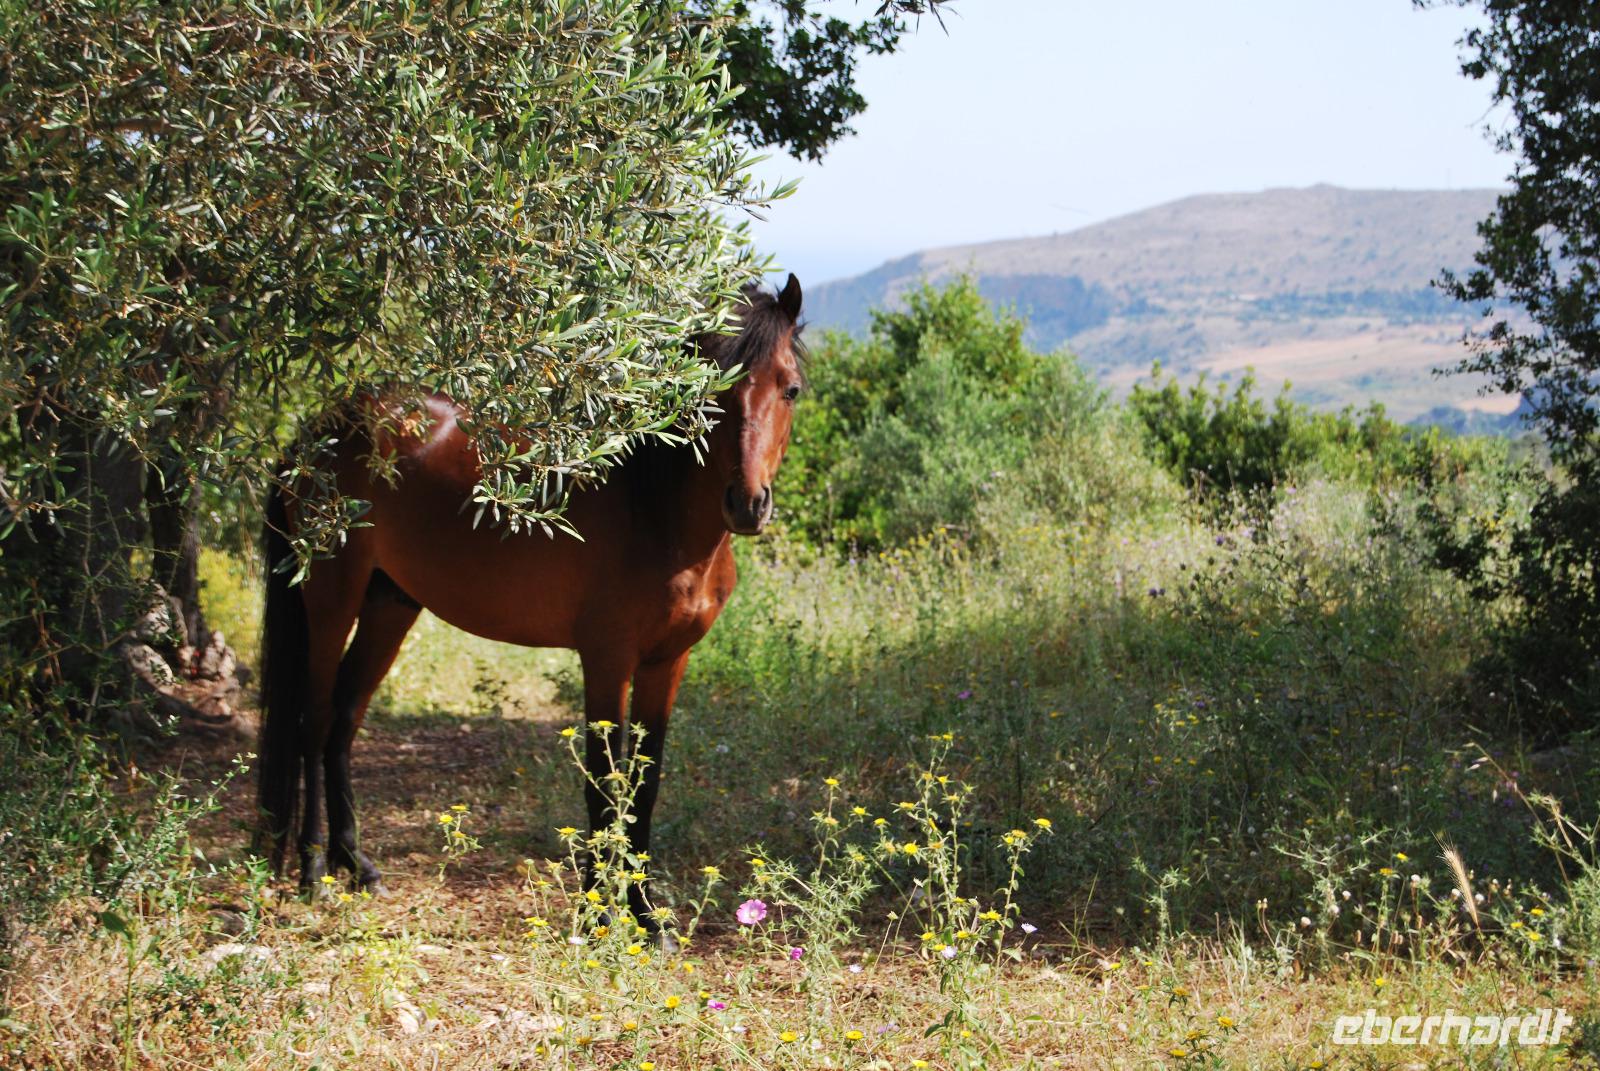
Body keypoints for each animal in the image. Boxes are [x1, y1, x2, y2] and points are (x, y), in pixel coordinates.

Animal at [256, 276, 804, 919]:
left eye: (790, 388)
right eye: (712, 393)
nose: (747, 504)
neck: (656, 515)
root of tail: (321, 430)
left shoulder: (668, 663)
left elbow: (644, 784)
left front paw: (645, 914)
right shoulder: (606, 660)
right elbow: (603, 781)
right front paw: (599, 907)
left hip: (389, 605)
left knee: (344, 719)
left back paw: (358, 864)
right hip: (331, 600)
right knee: (314, 721)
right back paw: (314, 868)